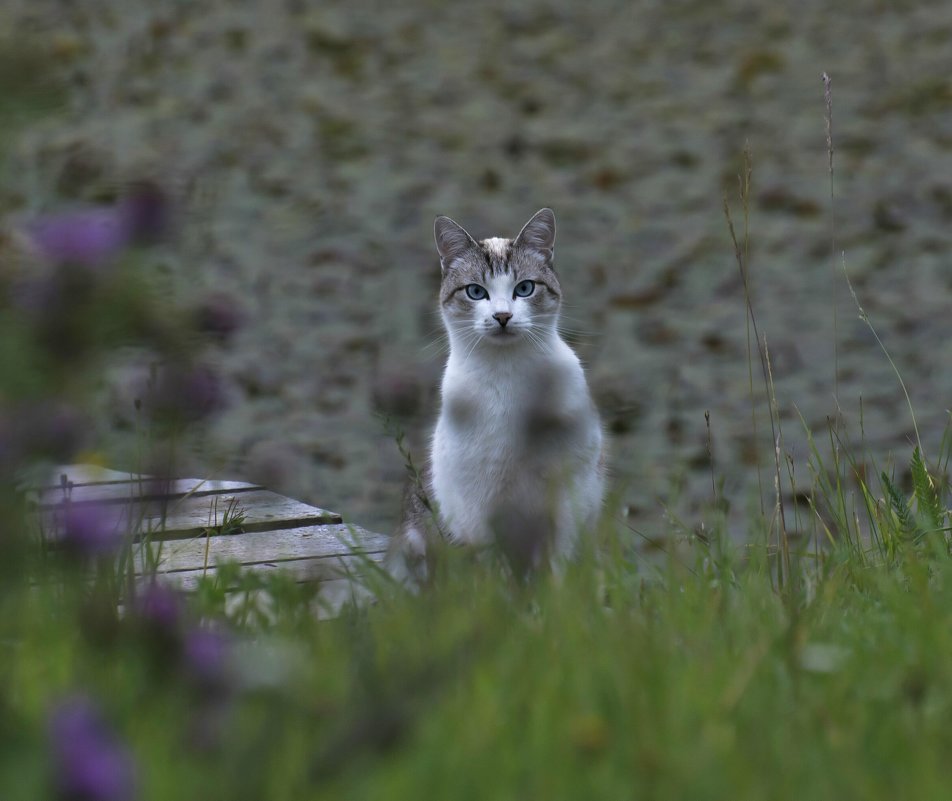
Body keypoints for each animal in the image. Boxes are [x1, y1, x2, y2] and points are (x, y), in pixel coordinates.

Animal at [386, 209, 604, 580]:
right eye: (476, 292)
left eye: (524, 288)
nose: (502, 316)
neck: (508, 375)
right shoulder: (479, 508)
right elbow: (494, 574)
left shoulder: (568, 497)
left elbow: (559, 570)